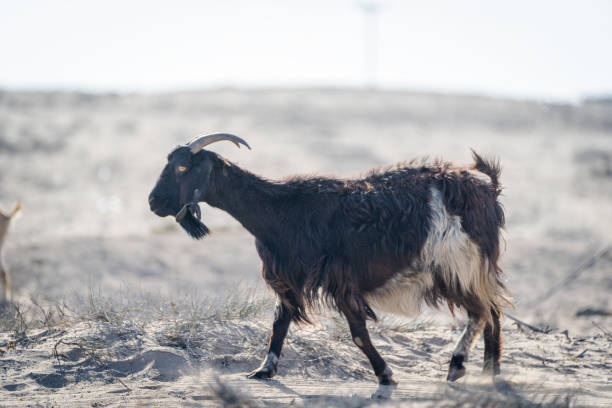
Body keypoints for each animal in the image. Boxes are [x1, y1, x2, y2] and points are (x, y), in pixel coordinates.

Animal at [148, 134, 512, 386]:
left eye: (182, 167)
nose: (153, 202)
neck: (282, 208)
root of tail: (486, 189)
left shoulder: (340, 278)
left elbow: (357, 333)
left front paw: (386, 374)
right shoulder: (290, 274)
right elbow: (279, 321)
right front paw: (264, 370)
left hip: (458, 264)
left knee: (481, 312)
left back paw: (458, 366)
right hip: (467, 269)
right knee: (492, 312)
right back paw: (489, 372)